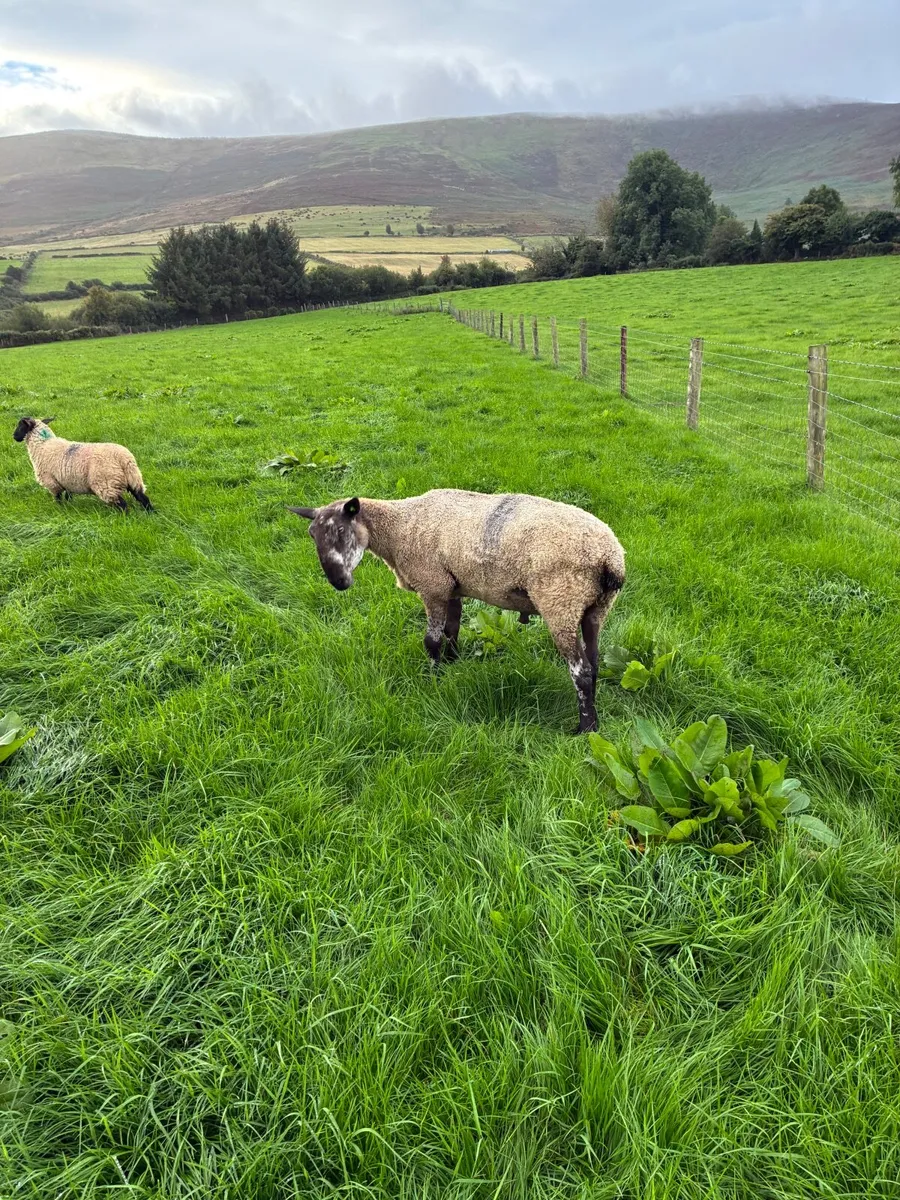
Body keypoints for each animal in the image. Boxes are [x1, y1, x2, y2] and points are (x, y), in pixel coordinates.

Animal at [12, 417, 153, 512]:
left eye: (20, 426)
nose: (14, 436)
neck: (42, 444)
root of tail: (123, 457)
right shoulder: (66, 480)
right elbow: (68, 495)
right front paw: (69, 506)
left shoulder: (52, 481)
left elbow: (58, 497)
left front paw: (60, 508)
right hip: (134, 478)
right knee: (143, 498)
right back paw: (151, 513)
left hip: (106, 483)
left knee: (123, 505)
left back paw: (124, 518)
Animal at [289, 489, 625, 733]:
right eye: (312, 534)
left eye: (341, 530)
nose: (338, 582)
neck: (399, 528)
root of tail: (610, 559)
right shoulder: (451, 587)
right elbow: (452, 630)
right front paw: (452, 665)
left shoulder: (433, 585)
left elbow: (431, 641)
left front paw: (433, 680)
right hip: (594, 608)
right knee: (593, 661)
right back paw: (592, 713)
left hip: (560, 600)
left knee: (580, 671)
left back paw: (585, 728)